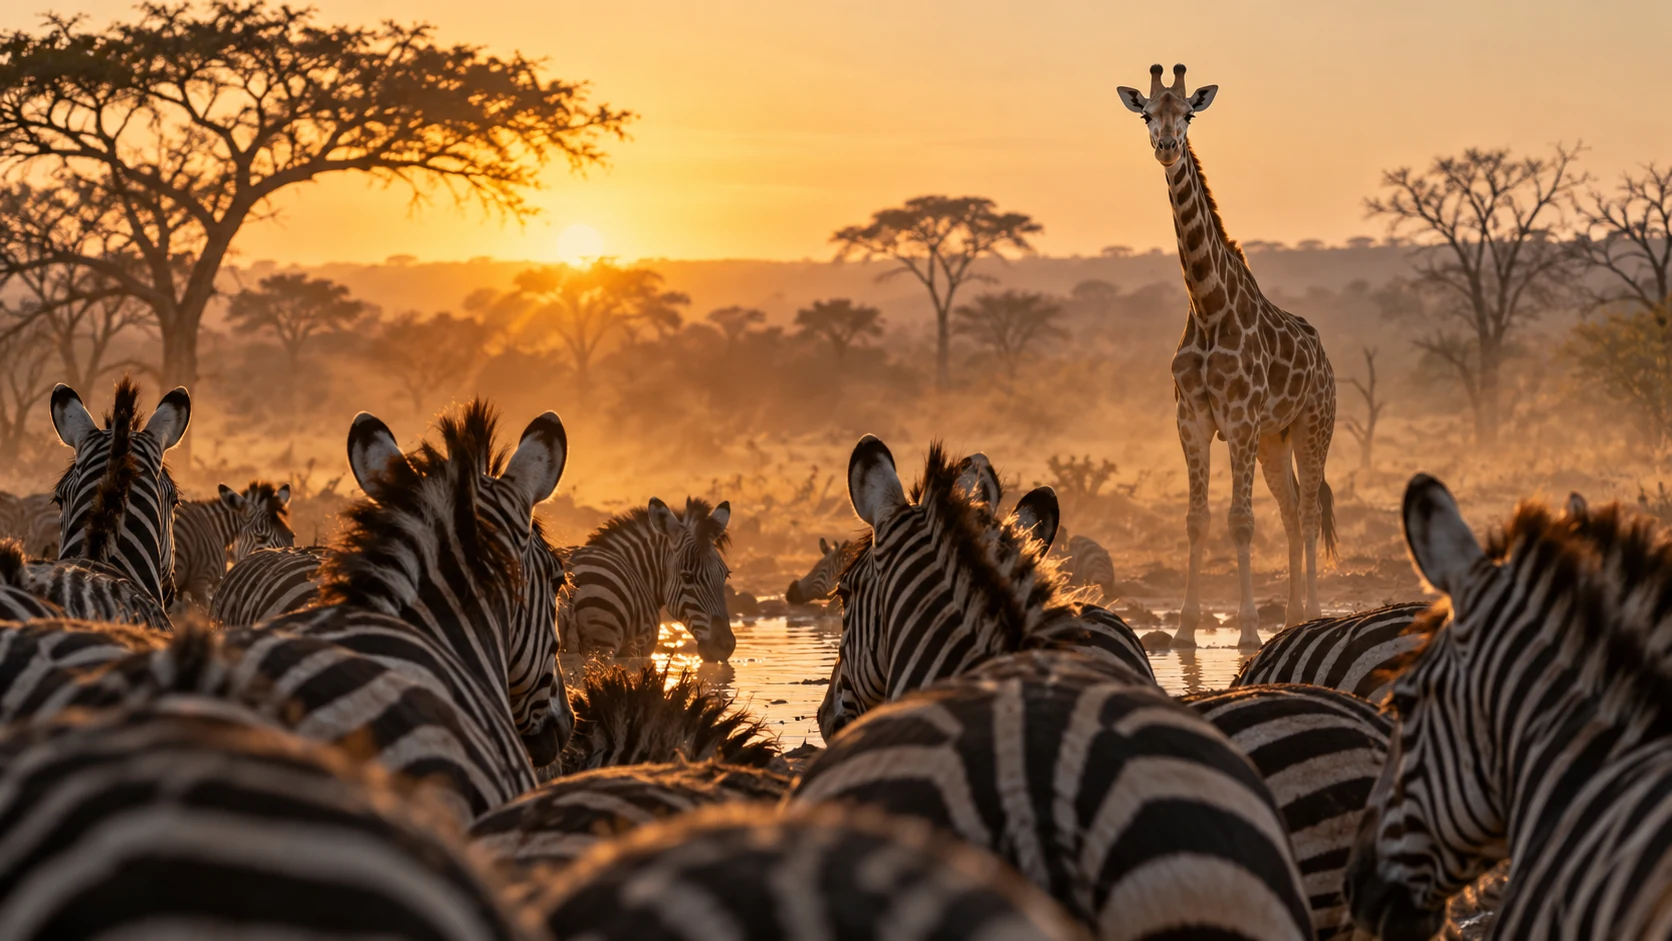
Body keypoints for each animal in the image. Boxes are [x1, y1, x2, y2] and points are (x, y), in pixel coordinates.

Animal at [1117, 63, 1337, 649]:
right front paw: (1186, 629)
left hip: (1312, 426)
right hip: (1274, 440)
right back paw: (1291, 615)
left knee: (1309, 512)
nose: (1167, 147)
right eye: (1147, 114)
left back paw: (1311, 611)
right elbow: (1197, 520)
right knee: (1290, 512)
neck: (1208, 303)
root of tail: (1326, 360)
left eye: (1189, 114)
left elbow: (1241, 521)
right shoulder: (1191, 420)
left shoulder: (1239, 421)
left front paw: (1248, 630)